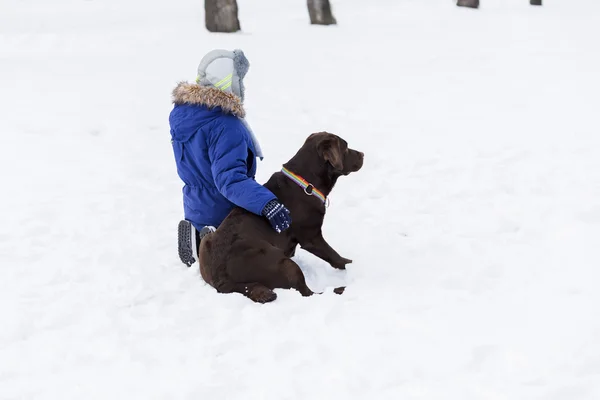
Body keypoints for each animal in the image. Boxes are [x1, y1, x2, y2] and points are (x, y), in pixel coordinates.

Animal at [199, 132, 364, 304]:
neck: (306, 184)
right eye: (346, 147)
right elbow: (334, 256)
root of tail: (221, 280)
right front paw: (350, 265)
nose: (362, 154)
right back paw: (339, 289)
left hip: (207, 239)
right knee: (307, 293)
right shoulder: (311, 236)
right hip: (283, 264)